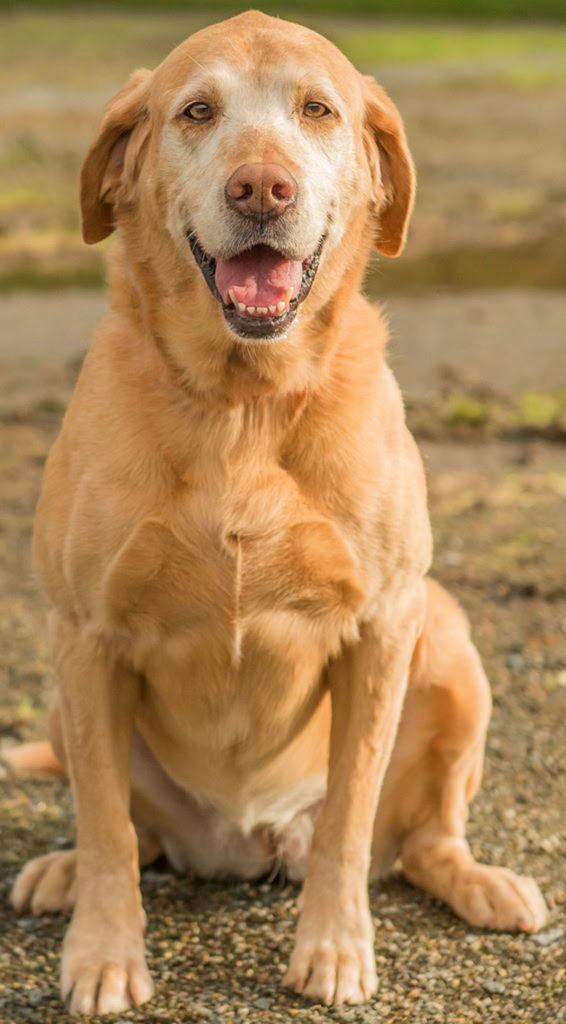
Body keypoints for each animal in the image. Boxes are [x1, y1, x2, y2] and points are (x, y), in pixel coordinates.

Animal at [8, 12, 544, 1011]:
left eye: (317, 109)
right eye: (196, 111)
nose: (262, 187)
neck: (244, 406)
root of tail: (239, 846)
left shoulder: (382, 624)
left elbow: (348, 818)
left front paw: (333, 948)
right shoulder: (86, 635)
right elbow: (104, 824)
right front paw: (103, 953)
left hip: (451, 646)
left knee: (424, 839)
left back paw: (484, 883)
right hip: (65, 692)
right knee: (133, 833)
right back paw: (59, 873)